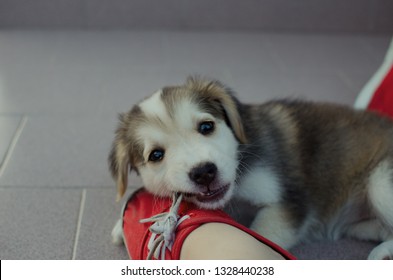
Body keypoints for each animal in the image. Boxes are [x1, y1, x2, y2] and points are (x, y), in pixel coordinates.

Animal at [108, 77, 392, 260]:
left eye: (206, 126)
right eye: (156, 155)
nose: (204, 172)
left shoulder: (288, 204)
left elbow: (261, 234)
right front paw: (122, 224)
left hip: (380, 183)